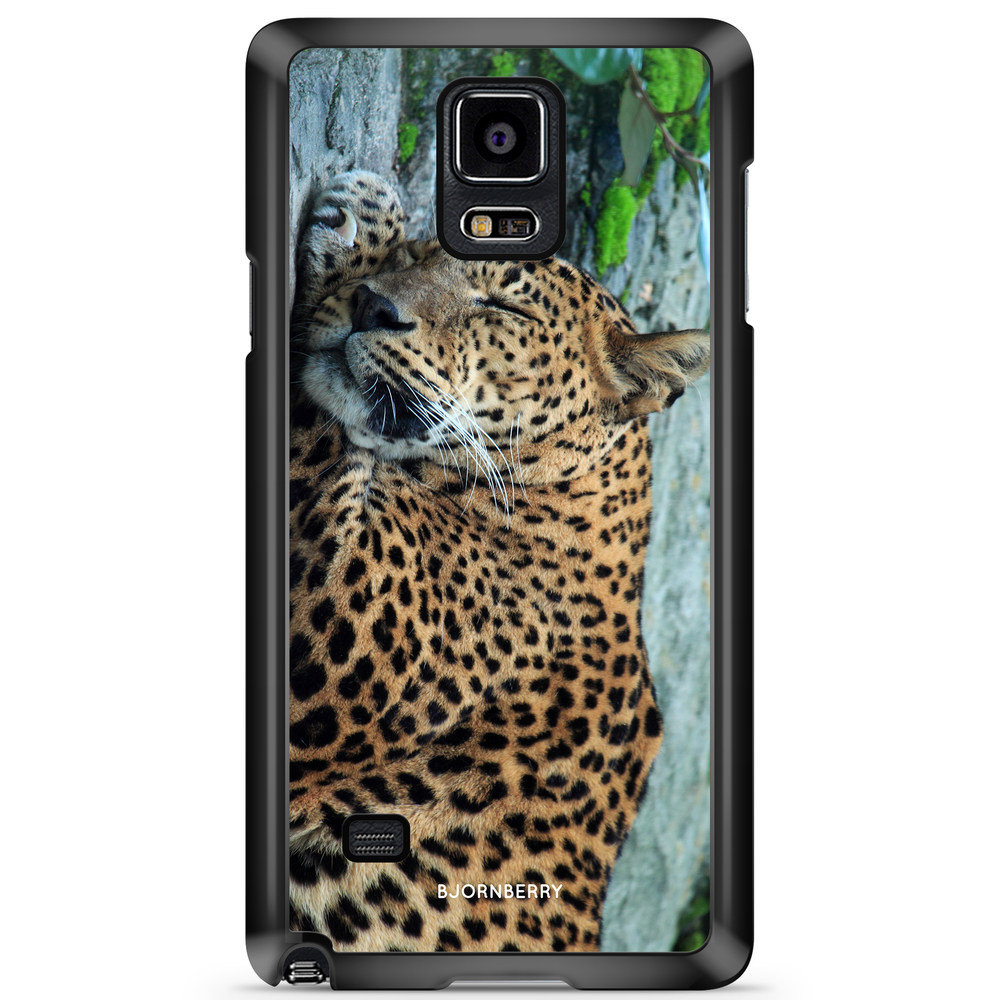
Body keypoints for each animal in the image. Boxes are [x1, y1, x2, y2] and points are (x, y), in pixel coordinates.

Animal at [287, 171, 710, 953]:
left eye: (504, 307)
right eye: (423, 255)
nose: (372, 305)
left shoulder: (340, 616)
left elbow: (320, 428)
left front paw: (360, 219)